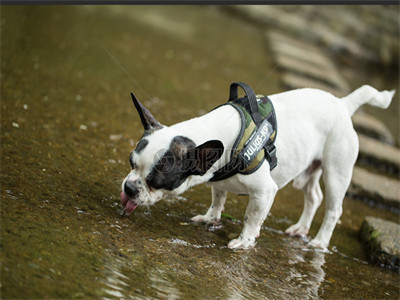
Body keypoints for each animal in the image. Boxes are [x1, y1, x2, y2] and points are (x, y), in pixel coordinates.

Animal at [119, 84, 394, 248]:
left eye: (156, 182)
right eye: (131, 163)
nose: (129, 188)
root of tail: (343, 104)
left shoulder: (264, 192)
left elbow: (251, 216)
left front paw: (245, 241)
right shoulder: (217, 178)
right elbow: (218, 198)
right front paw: (210, 217)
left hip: (337, 171)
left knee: (334, 209)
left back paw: (319, 241)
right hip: (309, 169)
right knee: (313, 196)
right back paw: (301, 228)